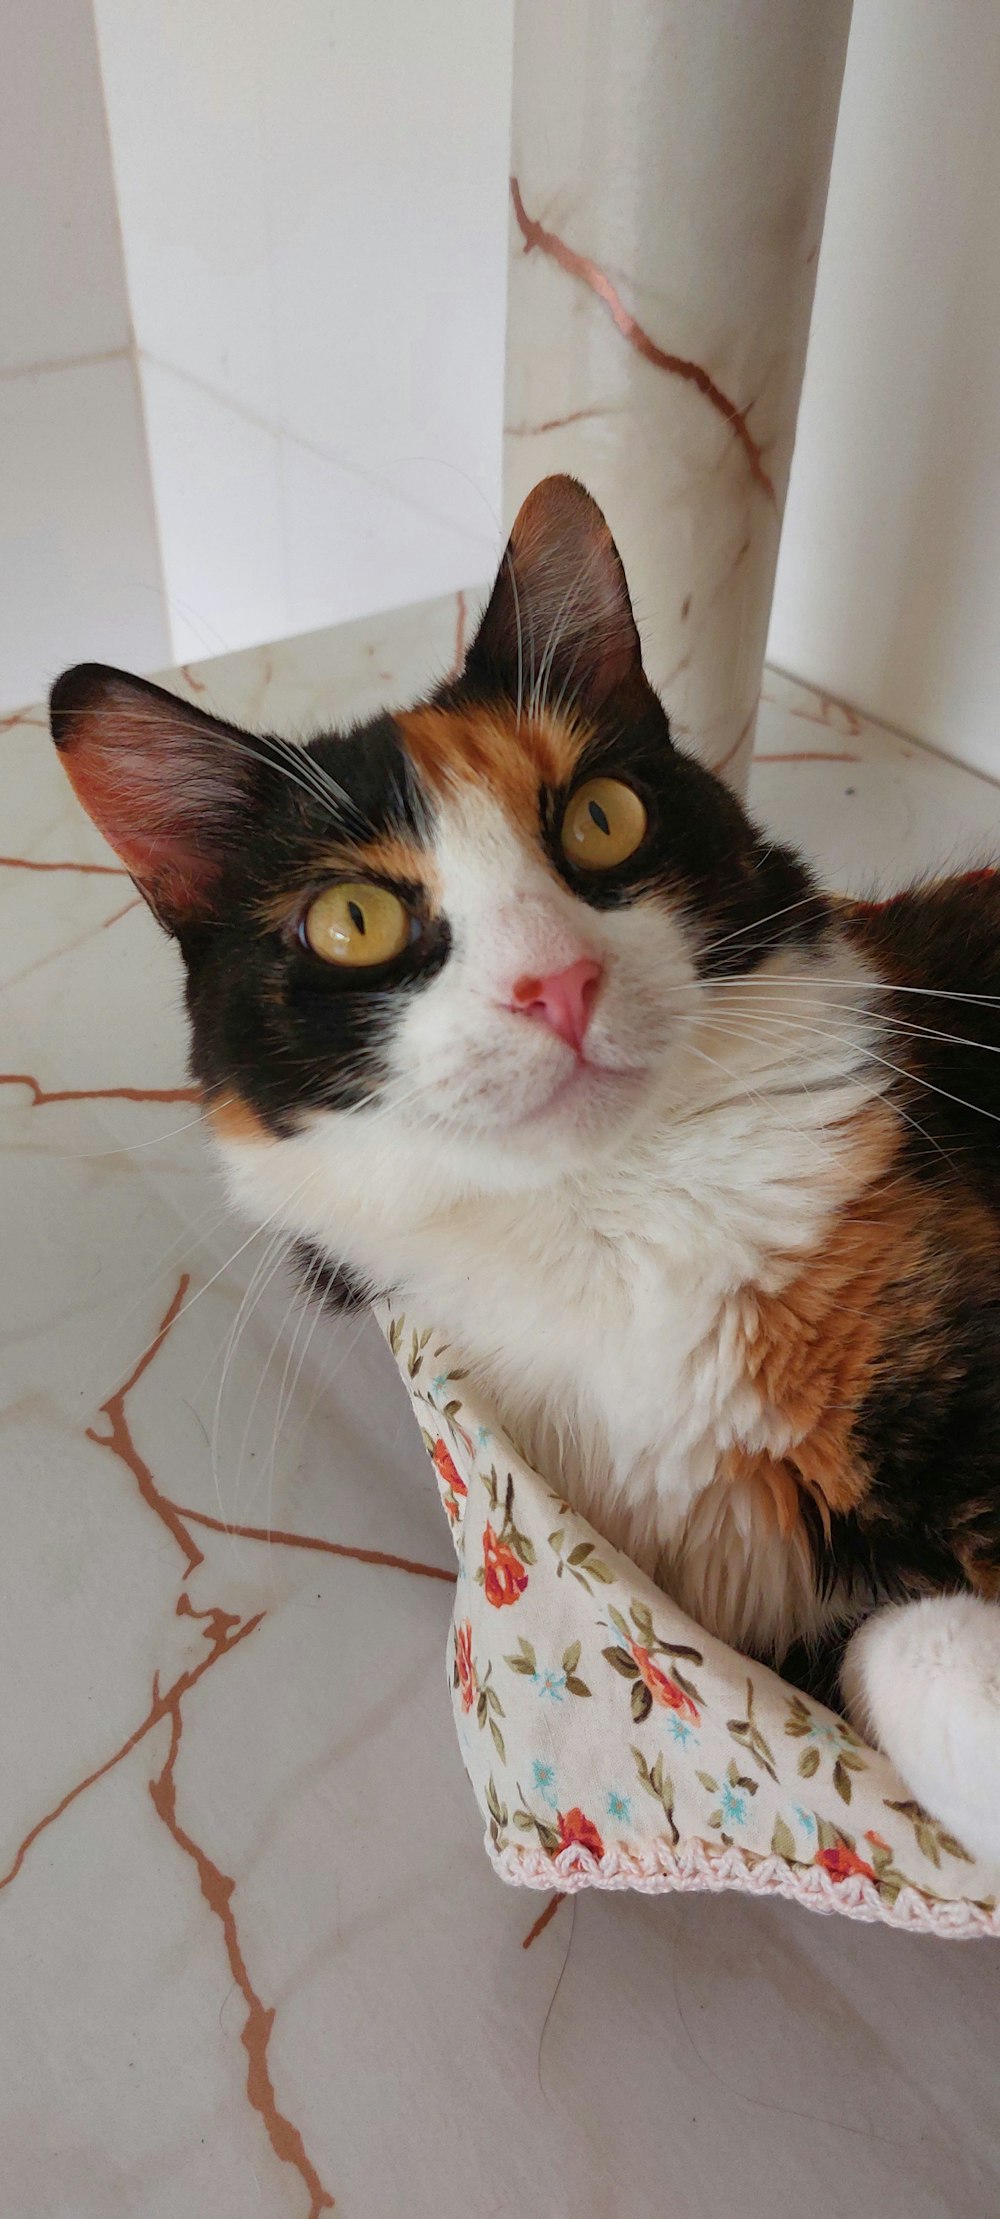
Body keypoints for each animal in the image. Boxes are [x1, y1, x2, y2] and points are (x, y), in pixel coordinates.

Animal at [52, 477, 1000, 1863]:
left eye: (601, 817)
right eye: (352, 919)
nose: (558, 981)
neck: (612, 1212)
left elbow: (923, 1642)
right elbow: (900, 1647)